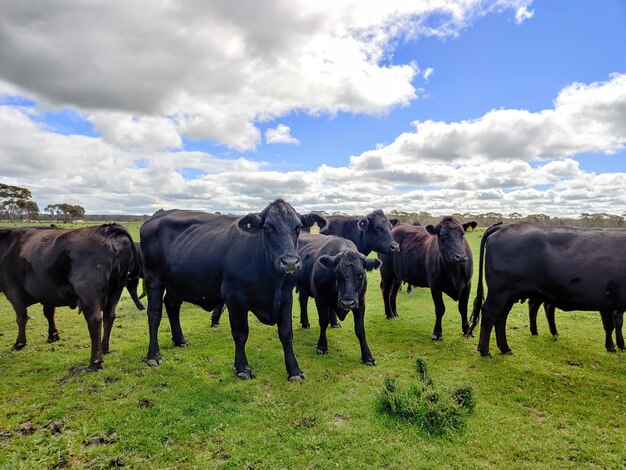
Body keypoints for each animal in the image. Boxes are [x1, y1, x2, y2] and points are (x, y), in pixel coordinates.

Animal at [0, 225, 137, 370]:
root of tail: (106, 229)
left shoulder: (13, 292)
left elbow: (21, 318)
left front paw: (19, 343)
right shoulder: (48, 294)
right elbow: (49, 313)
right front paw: (53, 335)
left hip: (89, 294)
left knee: (95, 321)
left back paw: (95, 361)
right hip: (116, 289)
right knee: (109, 317)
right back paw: (104, 348)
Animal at [140, 200, 324, 380]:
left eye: (298, 227)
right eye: (268, 227)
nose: (290, 262)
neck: (272, 280)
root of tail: (158, 215)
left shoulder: (286, 297)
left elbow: (286, 334)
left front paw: (294, 370)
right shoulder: (235, 297)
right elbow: (241, 333)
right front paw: (242, 368)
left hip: (176, 283)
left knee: (172, 306)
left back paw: (180, 340)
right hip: (153, 279)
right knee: (154, 314)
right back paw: (153, 356)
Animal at [296, 233, 380, 366]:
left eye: (361, 275)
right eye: (337, 274)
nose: (347, 303)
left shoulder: (361, 302)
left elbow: (360, 329)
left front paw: (368, 357)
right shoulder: (320, 299)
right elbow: (323, 322)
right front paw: (322, 346)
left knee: (303, 300)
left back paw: (311, 323)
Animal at [468, 222, 624, 354]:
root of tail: (502, 226)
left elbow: (616, 323)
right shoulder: (607, 302)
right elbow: (611, 325)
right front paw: (613, 347)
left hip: (510, 295)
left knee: (502, 316)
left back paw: (505, 348)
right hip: (500, 291)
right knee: (489, 313)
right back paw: (484, 351)